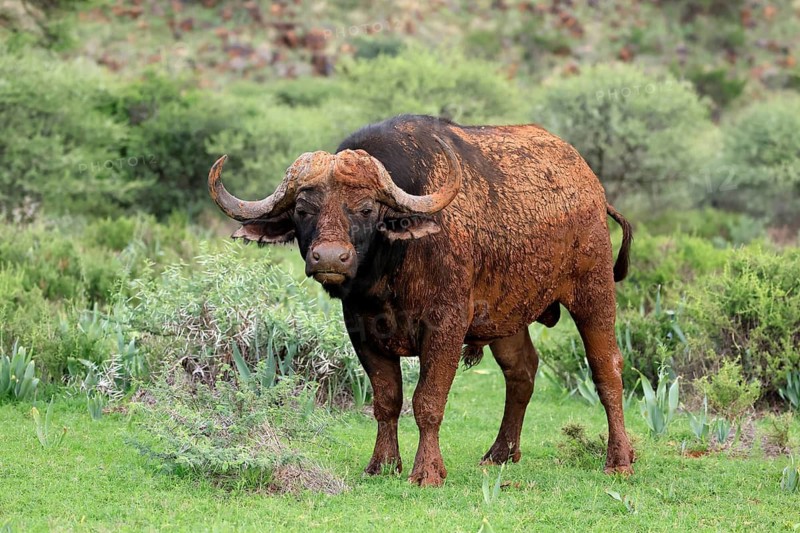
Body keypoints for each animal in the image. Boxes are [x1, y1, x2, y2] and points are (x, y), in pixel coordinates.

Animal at [209, 114, 635, 486]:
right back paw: (500, 453)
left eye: (367, 208)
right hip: (507, 317)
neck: (389, 275)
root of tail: (591, 187)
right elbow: (387, 400)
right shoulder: (361, 332)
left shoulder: (446, 328)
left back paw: (619, 459)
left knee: (607, 369)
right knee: (522, 372)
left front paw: (427, 472)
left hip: (594, 291)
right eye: (302, 209)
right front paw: (382, 464)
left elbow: (428, 401)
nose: (329, 258)